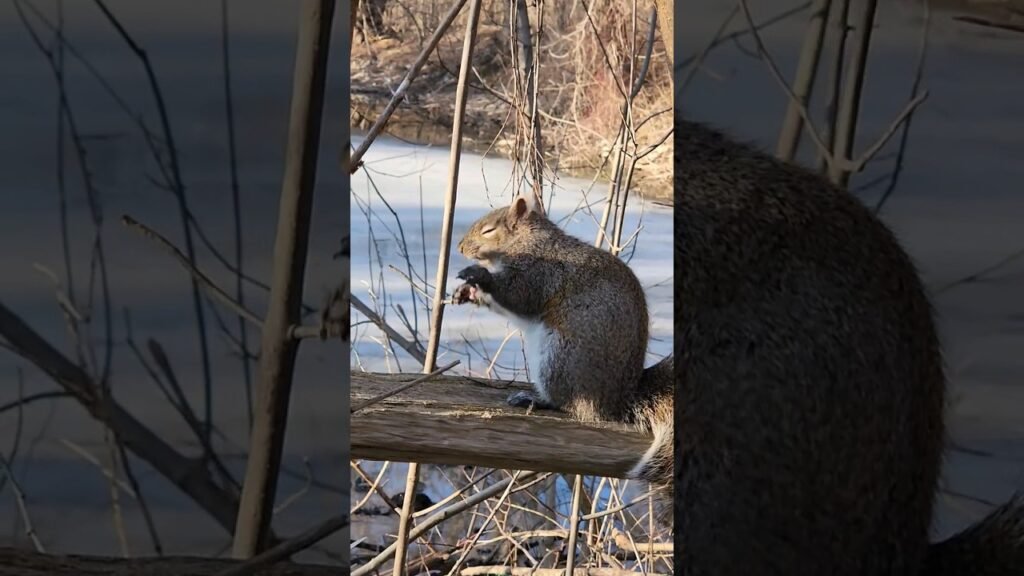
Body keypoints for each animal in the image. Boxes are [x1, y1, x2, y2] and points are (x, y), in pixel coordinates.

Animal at [451, 193, 674, 517]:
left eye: (489, 230)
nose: (460, 248)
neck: (531, 242)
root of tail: (617, 402)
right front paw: (466, 293)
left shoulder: (540, 275)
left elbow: (518, 295)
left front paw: (477, 276)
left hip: (560, 360)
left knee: (569, 404)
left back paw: (536, 399)